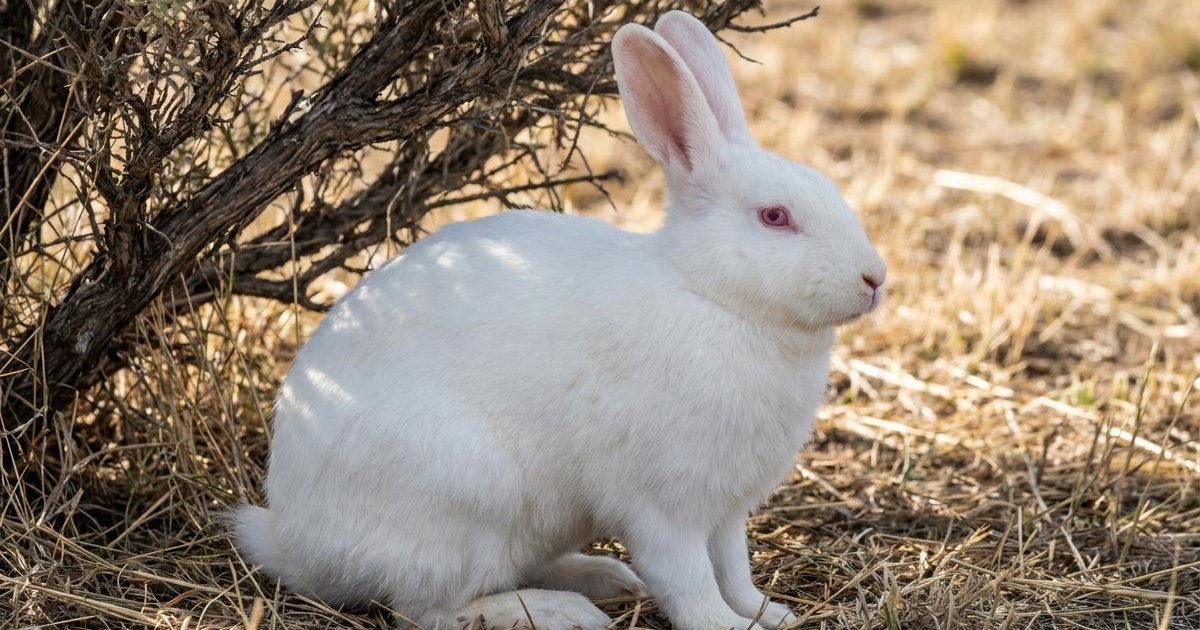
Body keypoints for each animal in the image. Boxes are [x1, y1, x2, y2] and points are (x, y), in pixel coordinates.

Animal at [231, 10, 886, 630]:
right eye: (775, 217)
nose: (874, 278)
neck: (711, 296)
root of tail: (294, 541)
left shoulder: (725, 510)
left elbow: (734, 566)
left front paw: (765, 612)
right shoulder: (665, 506)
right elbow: (689, 578)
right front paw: (721, 624)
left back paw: (603, 577)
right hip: (469, 501)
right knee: (430, 610)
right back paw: (561, 611)